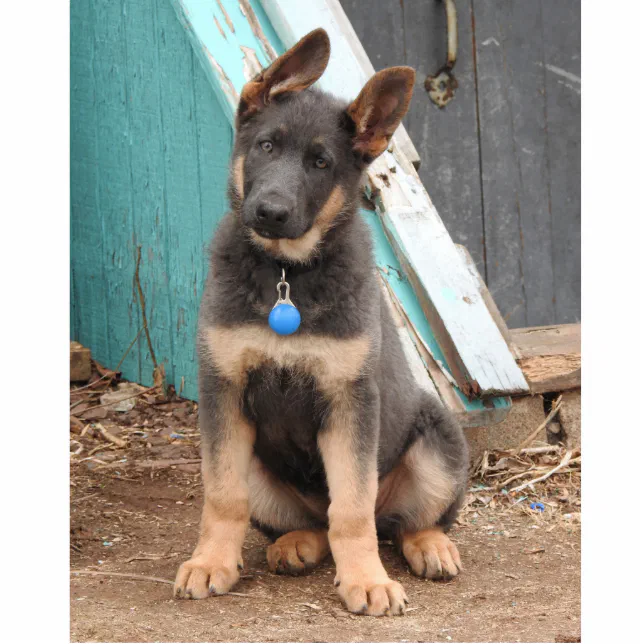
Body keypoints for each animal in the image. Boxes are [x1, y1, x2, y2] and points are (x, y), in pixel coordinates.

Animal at [175, 27, 468, 616]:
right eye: (266, 146)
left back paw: (430, 546)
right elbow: (222, 496)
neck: (287, 273)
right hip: (262, 469)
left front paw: (368, 581)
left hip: (439, 444)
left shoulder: (349, 398)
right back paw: (297, 543)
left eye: (321, 163)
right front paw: (211, 562)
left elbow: (351, 508)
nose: (270, 212)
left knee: (399, 522)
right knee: (312, 521)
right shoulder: (223, 390)